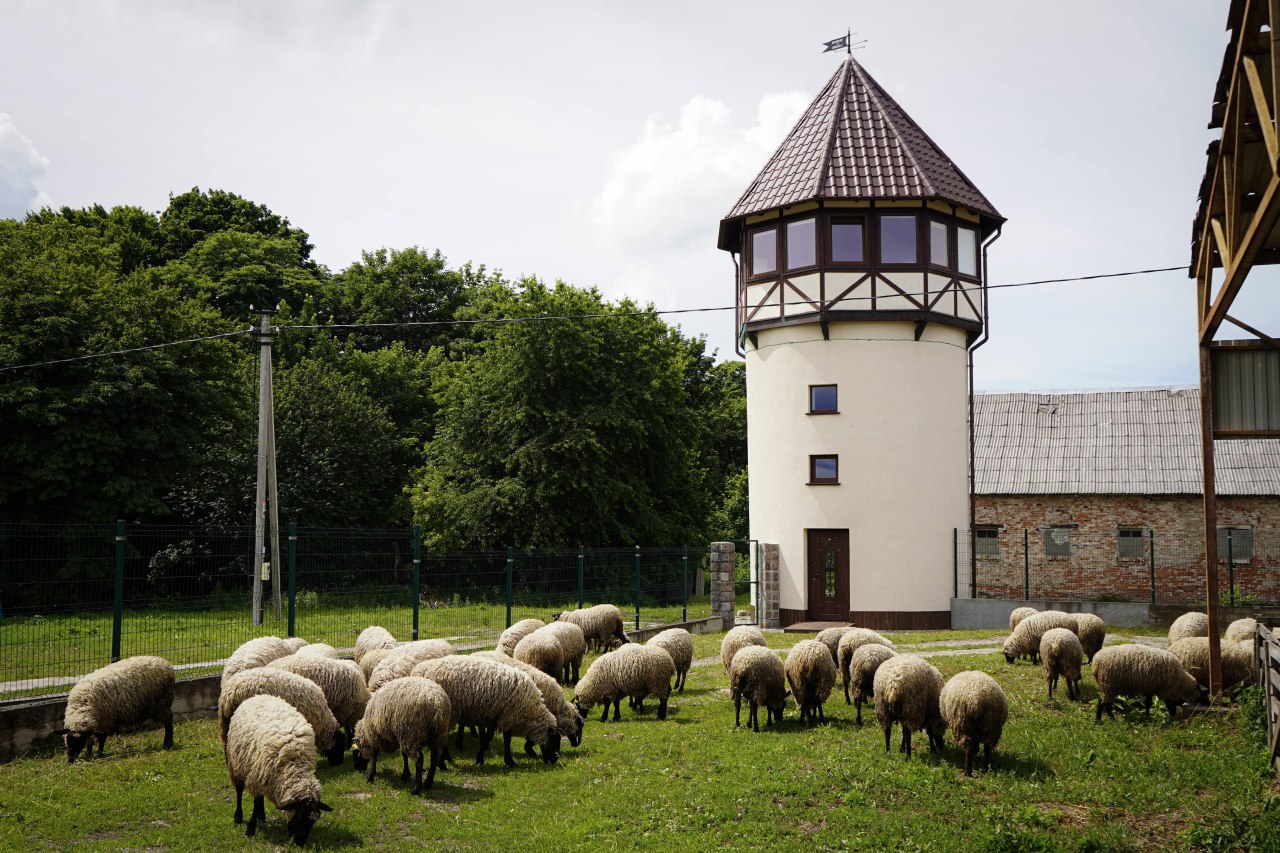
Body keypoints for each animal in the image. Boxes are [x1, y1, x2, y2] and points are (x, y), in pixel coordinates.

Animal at [227, 696, 332, 840]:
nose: (300, 842)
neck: (294, 764)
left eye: (313, 821)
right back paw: (238, 816)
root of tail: (258, 696)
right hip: (237, 761)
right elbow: (255, 803)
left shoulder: (263, 776)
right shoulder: (256, 776)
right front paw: (250, 829)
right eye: (300, 816)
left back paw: (261, 816)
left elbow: (258, 800)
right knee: (239, 789)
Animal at [409, 650, 560, 763]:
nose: (553, 761)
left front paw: (501, 759)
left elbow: (497, 737)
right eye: (554, 741)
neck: (529, 709)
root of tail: (423, 671)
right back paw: (447, 758)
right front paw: (488, 759)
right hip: (449, 713)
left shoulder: (498, 715)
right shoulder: (507, 715)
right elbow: (498, 738)